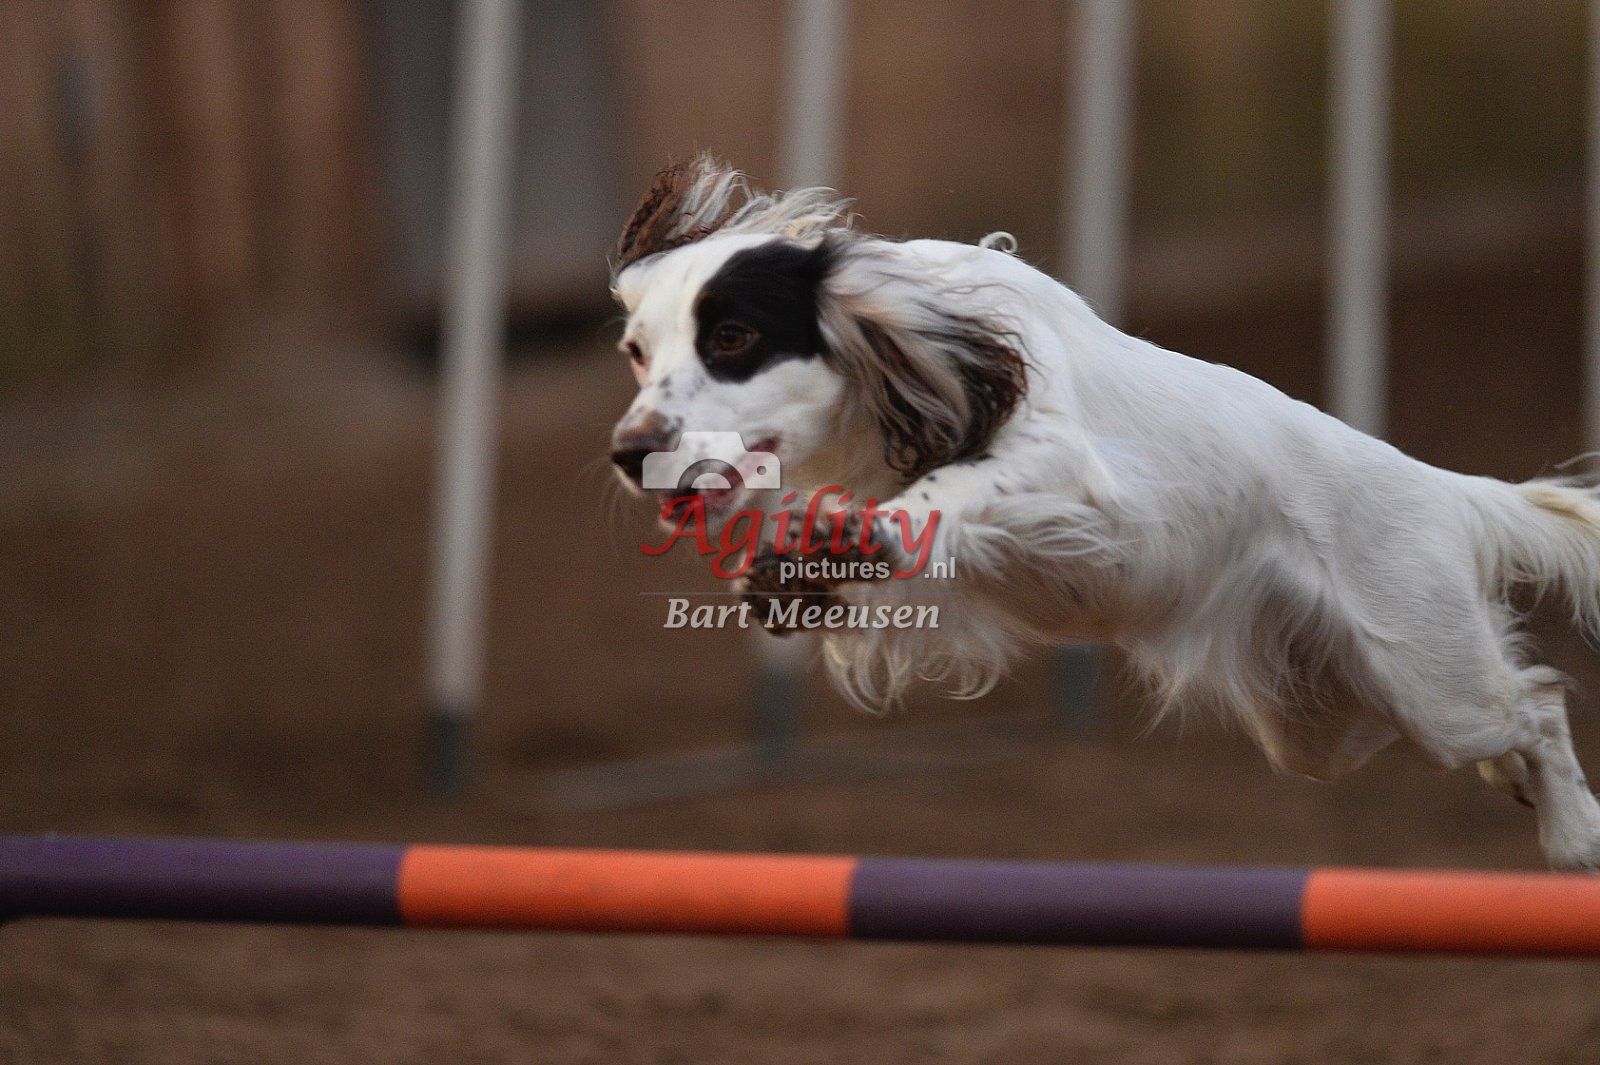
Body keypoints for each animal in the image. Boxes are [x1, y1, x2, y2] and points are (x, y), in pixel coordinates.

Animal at [608, 155, 1600, 871]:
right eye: (635, 351)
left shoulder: (1057, 462)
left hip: (1429, 676)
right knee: (1496, 731)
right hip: (1322, 722)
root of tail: (1448, 489)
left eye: (732, 335)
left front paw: (858, 534)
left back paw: (1573, 834)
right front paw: (795, 572)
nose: (628, 451)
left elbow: (942, 497)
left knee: (1536, 707)